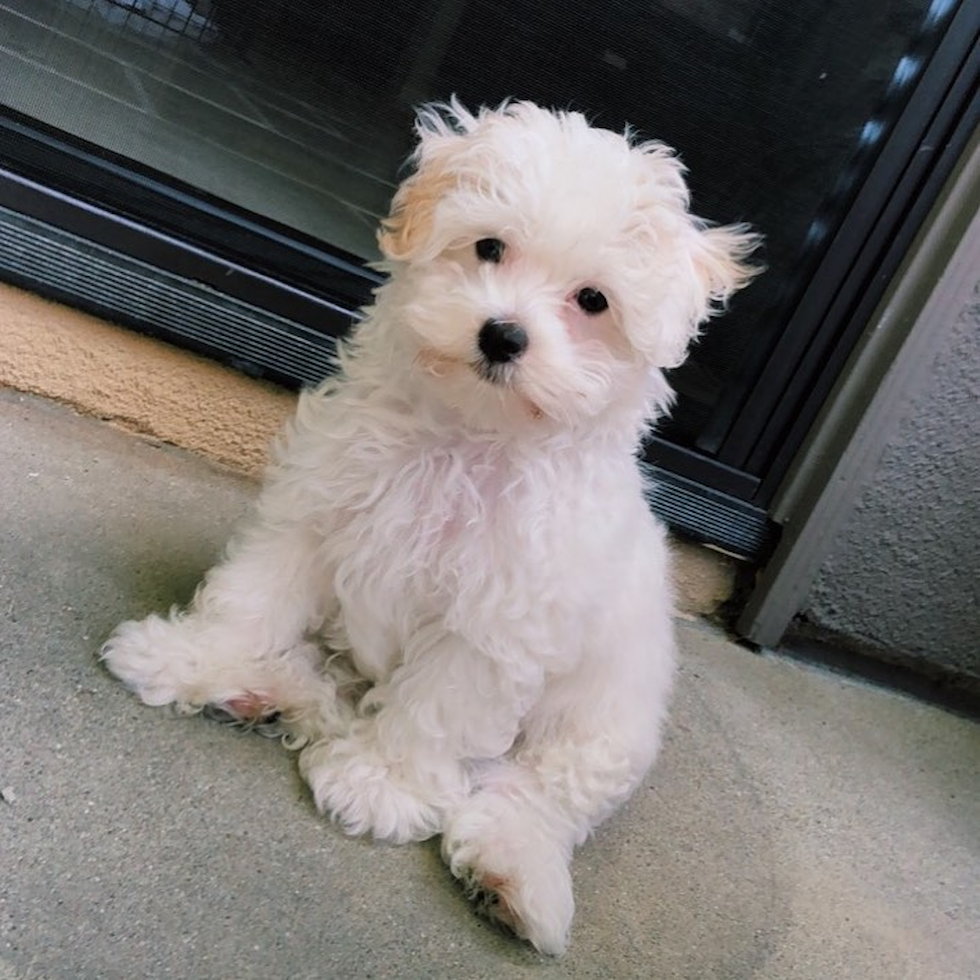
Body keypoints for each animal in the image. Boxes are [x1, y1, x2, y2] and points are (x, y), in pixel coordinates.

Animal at [103, 101, 756, 956]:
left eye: (593, 301)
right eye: (489, 247)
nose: (502, 335)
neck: (466, 437)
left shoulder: (497, 618)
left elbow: (442, 704)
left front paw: (382, 782)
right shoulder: (316, 508)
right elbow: (253, 598)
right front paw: (193, 658)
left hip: (603, 731)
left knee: (530, 799)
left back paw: (511, 879)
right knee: (324, 686)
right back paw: (259, 690)